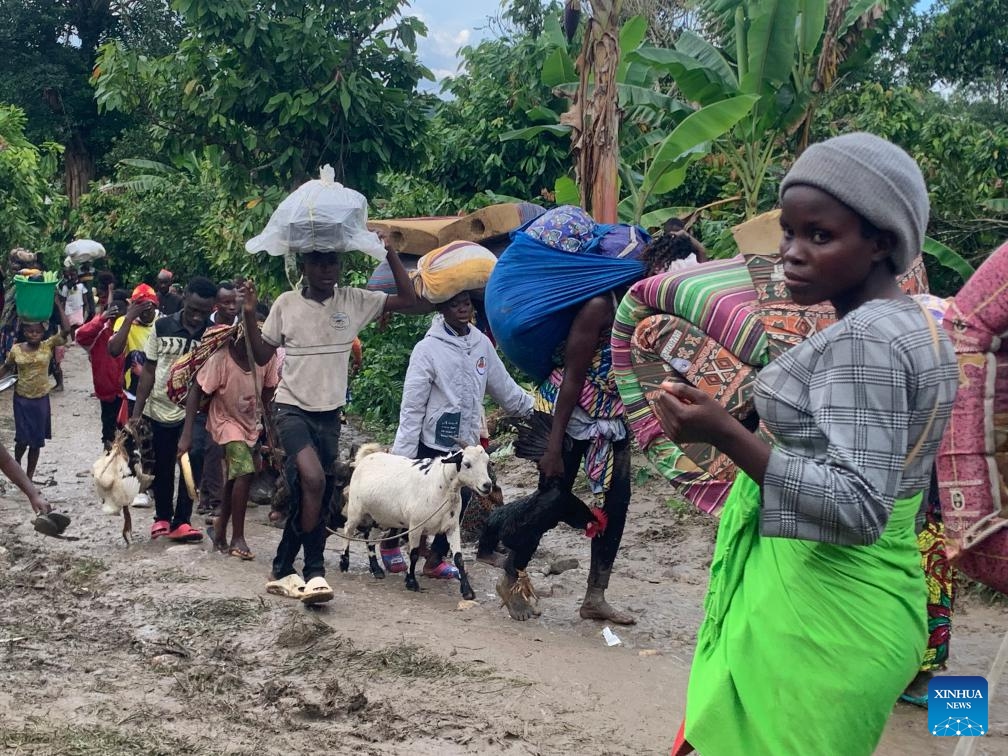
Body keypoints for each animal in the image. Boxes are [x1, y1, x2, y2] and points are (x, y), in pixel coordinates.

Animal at [342, 447, 491, 600]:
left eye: (487, 462)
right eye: (467, 464)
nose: (487, 485)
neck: (440, 486)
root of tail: (365, 458)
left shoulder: (452, 527)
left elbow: (459, 559)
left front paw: (467, 591)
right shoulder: (415, 526)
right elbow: (413, 554)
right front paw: (411, 582)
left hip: (379, 516)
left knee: (369, 538)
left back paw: (376, 569)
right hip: (356, 508)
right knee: (348, 530)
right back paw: (344, 562)